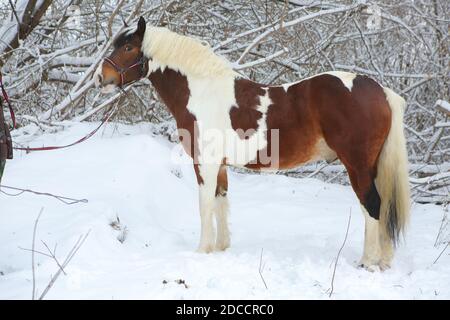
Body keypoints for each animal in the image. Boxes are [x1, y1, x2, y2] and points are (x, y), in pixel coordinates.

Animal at [96, 17, 412, 272]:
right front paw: (220, 249)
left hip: (357, 165)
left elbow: (205, 205)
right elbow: (221, 202)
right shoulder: (220, 166)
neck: (202, 91)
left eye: (128, 47)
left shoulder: (205, 163)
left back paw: (368, 263)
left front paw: (201, 251)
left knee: (372, 206)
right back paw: (383, 261)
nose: (102, 78)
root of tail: (381, 91)